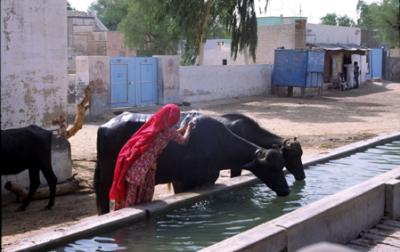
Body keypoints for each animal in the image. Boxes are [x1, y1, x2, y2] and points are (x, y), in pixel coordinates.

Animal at [94, 113, 288, 214]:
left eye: (282, 165)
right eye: (271, 168)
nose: (286, 190)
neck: (218, 143)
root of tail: (104, 127)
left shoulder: (206, 180)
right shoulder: (183, 181)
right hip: (108, 179)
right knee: (103, 197)